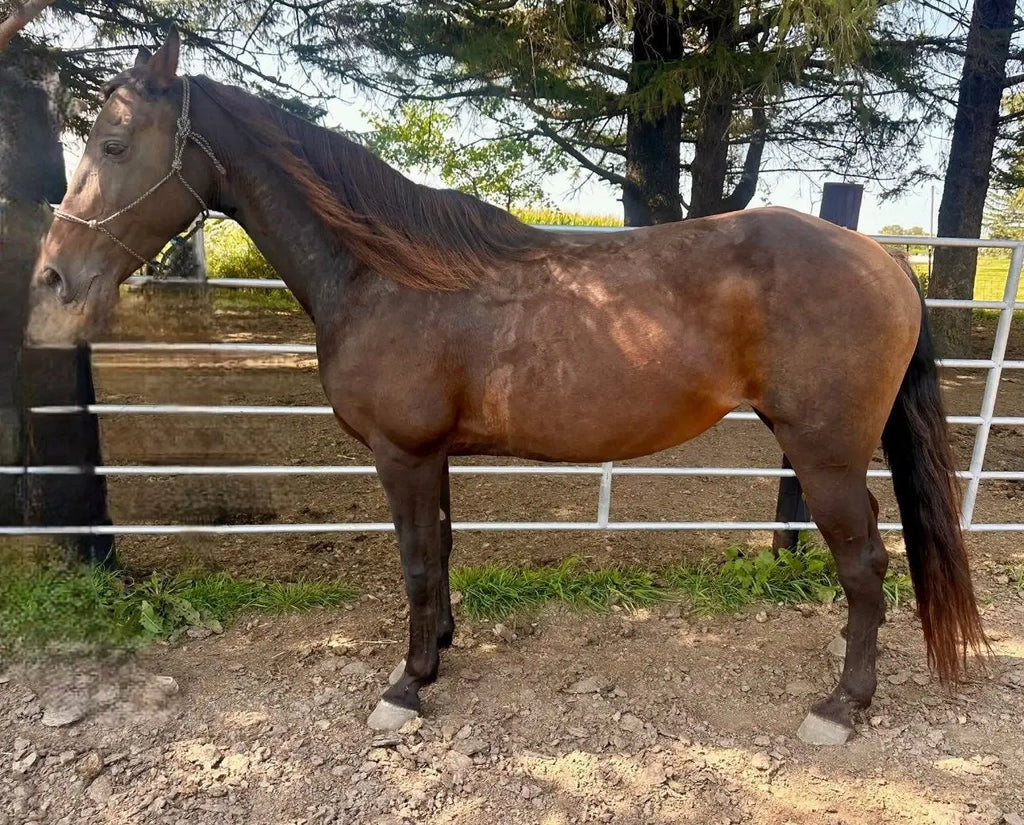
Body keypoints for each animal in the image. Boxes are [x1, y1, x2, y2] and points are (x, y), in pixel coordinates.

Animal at [32, 29, 985, 744]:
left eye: (113, 144)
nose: (52, 277)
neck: (382, 272)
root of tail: (885, 261)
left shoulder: (402, 454)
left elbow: (417, 561)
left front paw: (408, 685)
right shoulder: (434, 455)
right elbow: (444, 551)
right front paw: (440, 648)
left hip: (824, 456)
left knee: (864, 563)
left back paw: (842, 706)